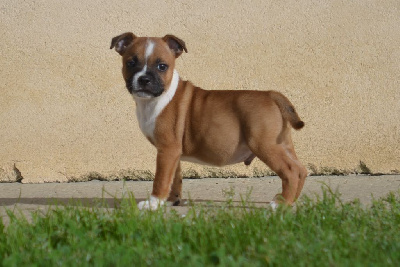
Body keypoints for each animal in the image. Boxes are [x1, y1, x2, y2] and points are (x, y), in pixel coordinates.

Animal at [109, 32, 306, 210]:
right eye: (130, 63)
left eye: (162, 66)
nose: (144, 79)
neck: (158, 98)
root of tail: (271, 94)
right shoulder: (173, 152)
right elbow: (175, 178)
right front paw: (172, 200)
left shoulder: (167, 150)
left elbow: (161, 179)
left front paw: (153, 203)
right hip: (282, 144)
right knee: (301, 170)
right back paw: (290, 201)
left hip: (265, 144)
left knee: (291, 171)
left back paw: (281, 203)